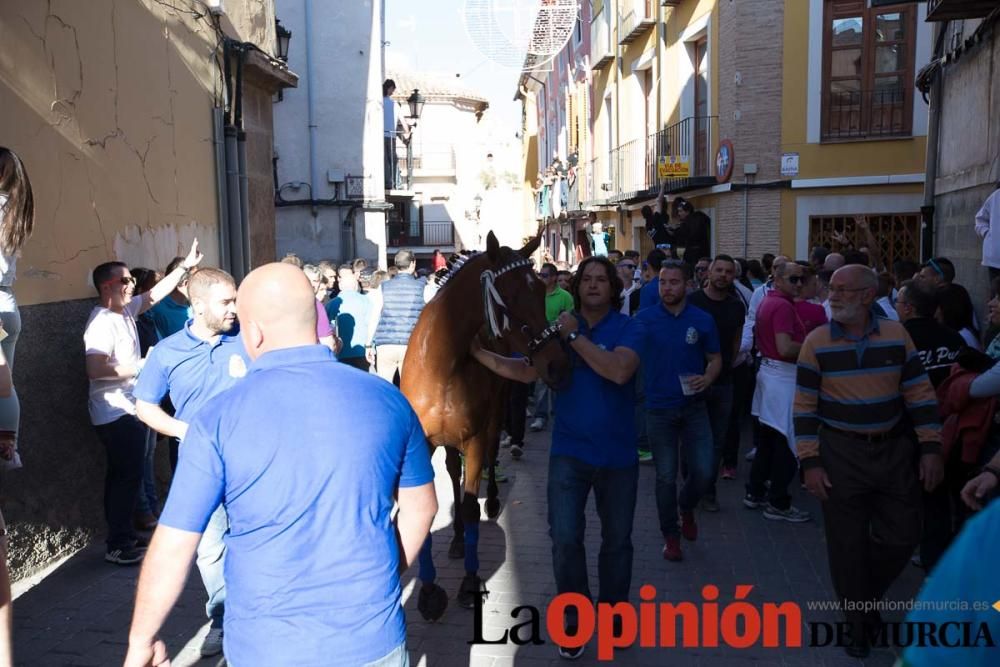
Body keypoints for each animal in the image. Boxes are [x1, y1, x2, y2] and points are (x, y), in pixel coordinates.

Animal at [398, 230, 572, 620]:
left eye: (542, 291)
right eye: (510, 297)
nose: (557, 363)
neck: (443, 363)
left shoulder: (475, 438)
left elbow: (469, 505)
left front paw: (468, 582)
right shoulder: (422, 443)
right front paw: (428, 591)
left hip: (496, 414)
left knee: (491, 458)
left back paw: (490, 501)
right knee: (452, 470)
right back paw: (458, 539)